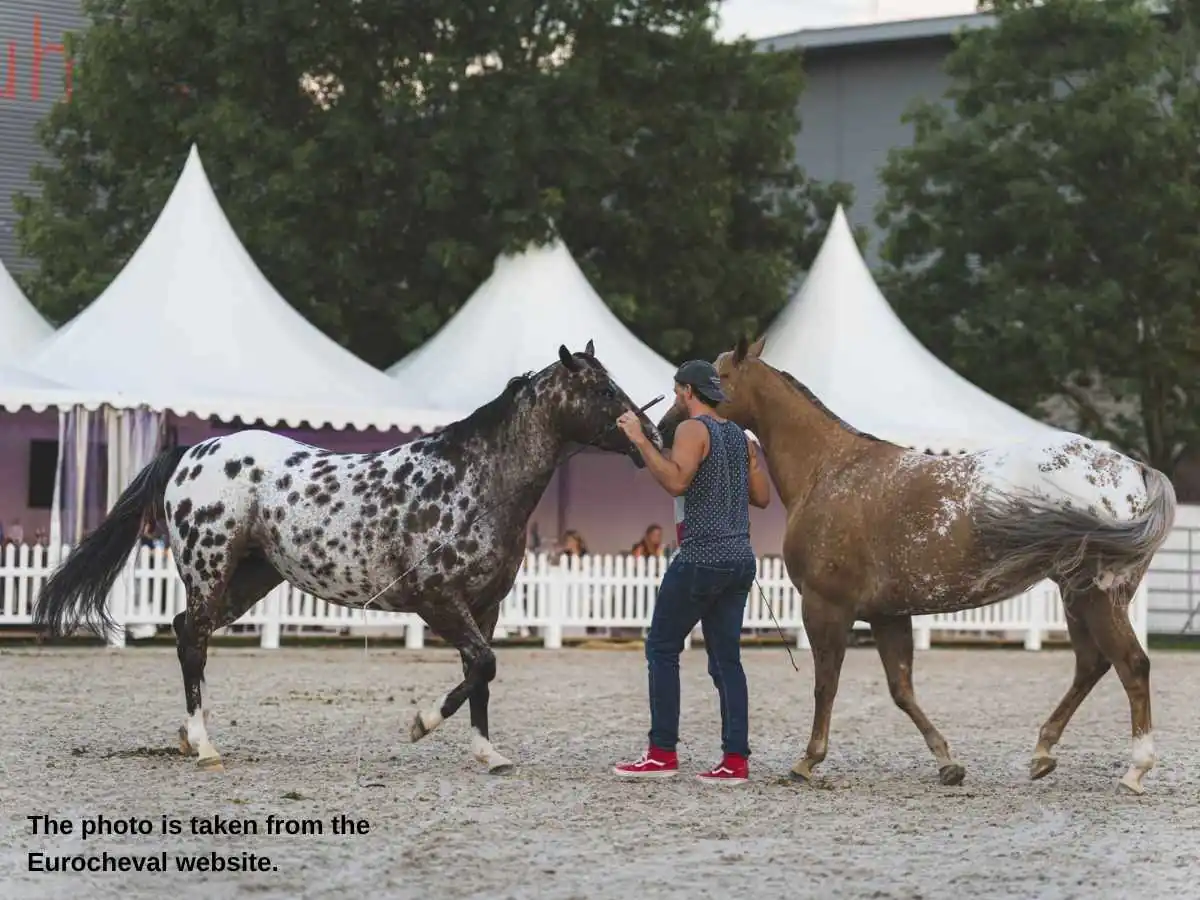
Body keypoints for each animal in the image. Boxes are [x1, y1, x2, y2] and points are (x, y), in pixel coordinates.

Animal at [34, 341, 662, 775]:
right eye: (604, 391)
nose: (650, 436)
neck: (474, 482)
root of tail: (191, 452)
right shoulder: (436, 601)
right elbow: (482, 666)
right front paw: (418, 724)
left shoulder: (486, 608)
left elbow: (479, 674)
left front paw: (489, 754)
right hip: (210, 569)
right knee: (193, 641)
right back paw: (206, 747)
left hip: (249, 579)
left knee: (189, 627)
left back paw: (192, 736)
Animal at [656, 335, 1175, 795]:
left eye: (718, 377)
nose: (666, 425)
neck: (830, 469)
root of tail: (1133, 470)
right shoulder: (889, 614)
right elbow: (901, 689)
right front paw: (947, 763)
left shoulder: (827, 608)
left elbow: (826, 685)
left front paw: (808, 760)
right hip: (1077, 596)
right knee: (1092, 664)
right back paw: (1042, 753)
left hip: (1096, 595)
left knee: (1131, 665)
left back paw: (1135, 770)